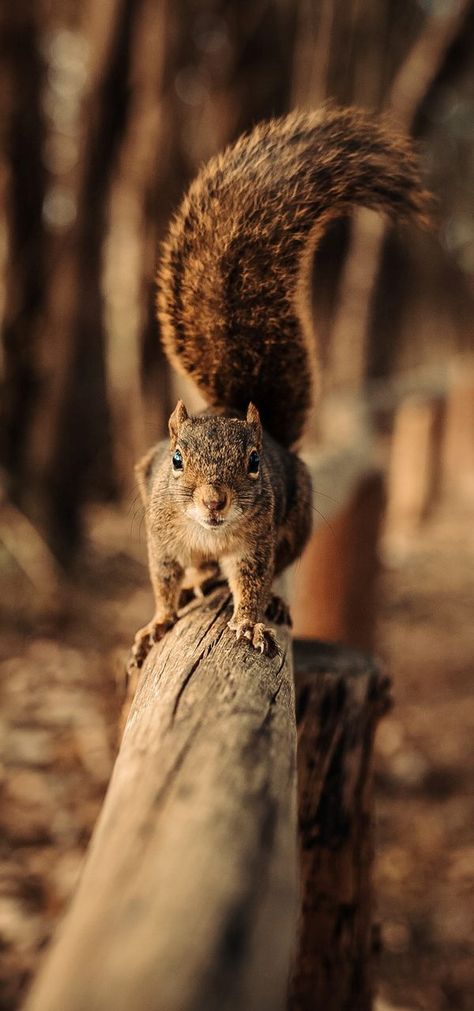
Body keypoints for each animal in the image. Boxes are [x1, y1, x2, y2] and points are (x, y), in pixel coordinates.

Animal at [128, 104, 428, 671]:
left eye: (252, 462)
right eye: (176, 460)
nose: (215, 501)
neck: (208, 533)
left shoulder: (256, 543)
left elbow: (250, 583)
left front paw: (248, 622)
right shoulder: (162, 538)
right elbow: (163, 582)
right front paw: (157, 622)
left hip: (297, 520)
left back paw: (273, 602)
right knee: (196, 574)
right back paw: (200, 581)